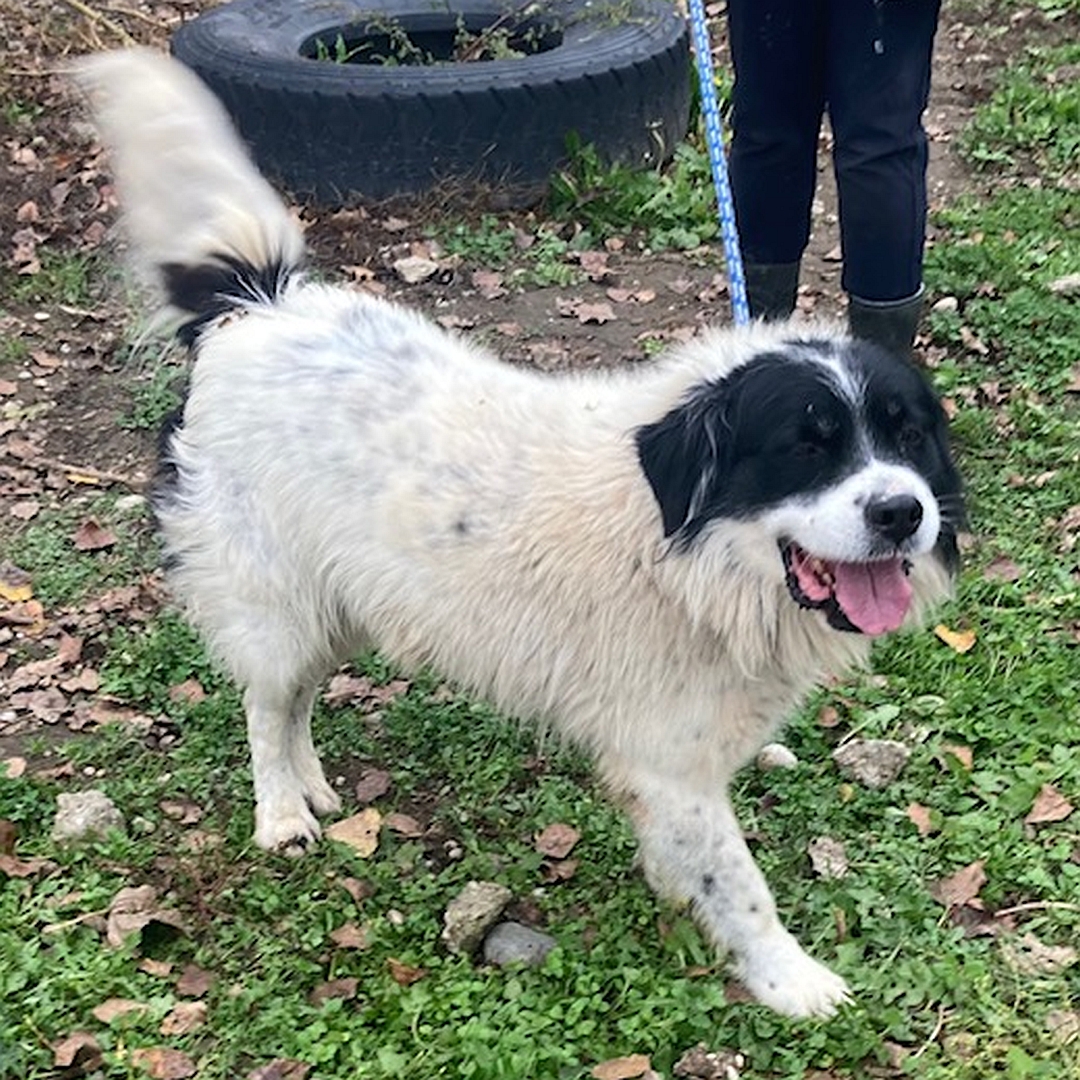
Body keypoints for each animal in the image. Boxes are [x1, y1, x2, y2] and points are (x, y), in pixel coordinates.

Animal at [79, 50, 967, 1019]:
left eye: (907, 437)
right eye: (806, 446)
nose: (902, 514)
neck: (681, 552)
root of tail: (257, 306)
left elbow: (694, 860)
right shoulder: (671, 760)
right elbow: (742, 887)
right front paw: (792, 980)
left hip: (343, 602)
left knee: (301, 699)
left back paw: (313, 788)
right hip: (274, 602)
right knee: (265, 707)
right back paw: (281, 813)